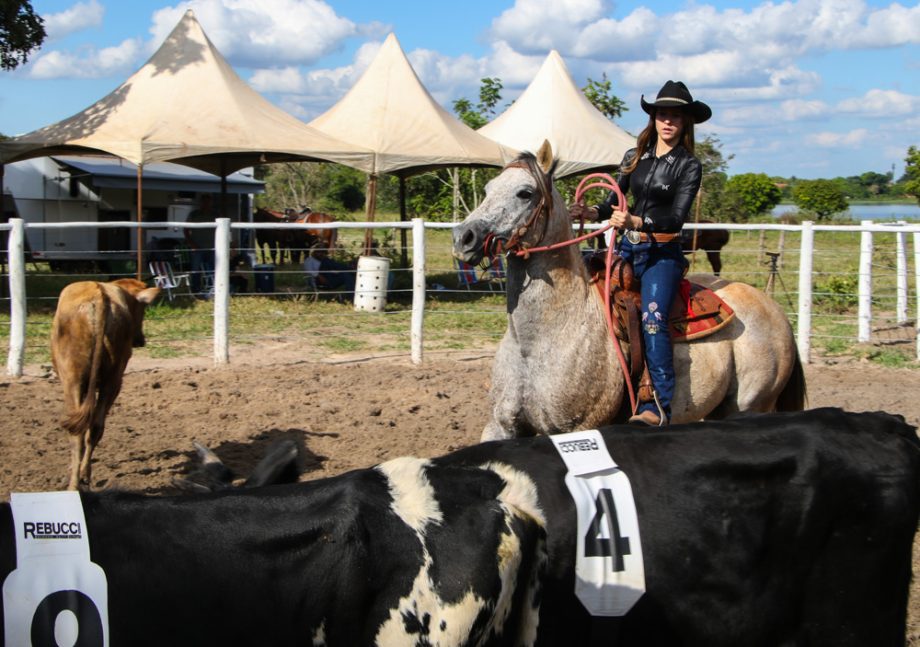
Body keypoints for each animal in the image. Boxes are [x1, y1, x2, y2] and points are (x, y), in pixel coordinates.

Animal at [50, 280, 160, 492]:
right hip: (112, 380)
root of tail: (99, 294)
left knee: (77, 433)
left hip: (73, 380)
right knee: (95, 426)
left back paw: (75, 485)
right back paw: (85, 476)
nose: (141, 340)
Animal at [452, 142, 804, 442]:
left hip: (749, 408)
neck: (543, 336)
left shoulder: (579, 429)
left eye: (525, 193)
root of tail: (772, 308)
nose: (464, 237)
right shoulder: (501, 426)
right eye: (487, 189)